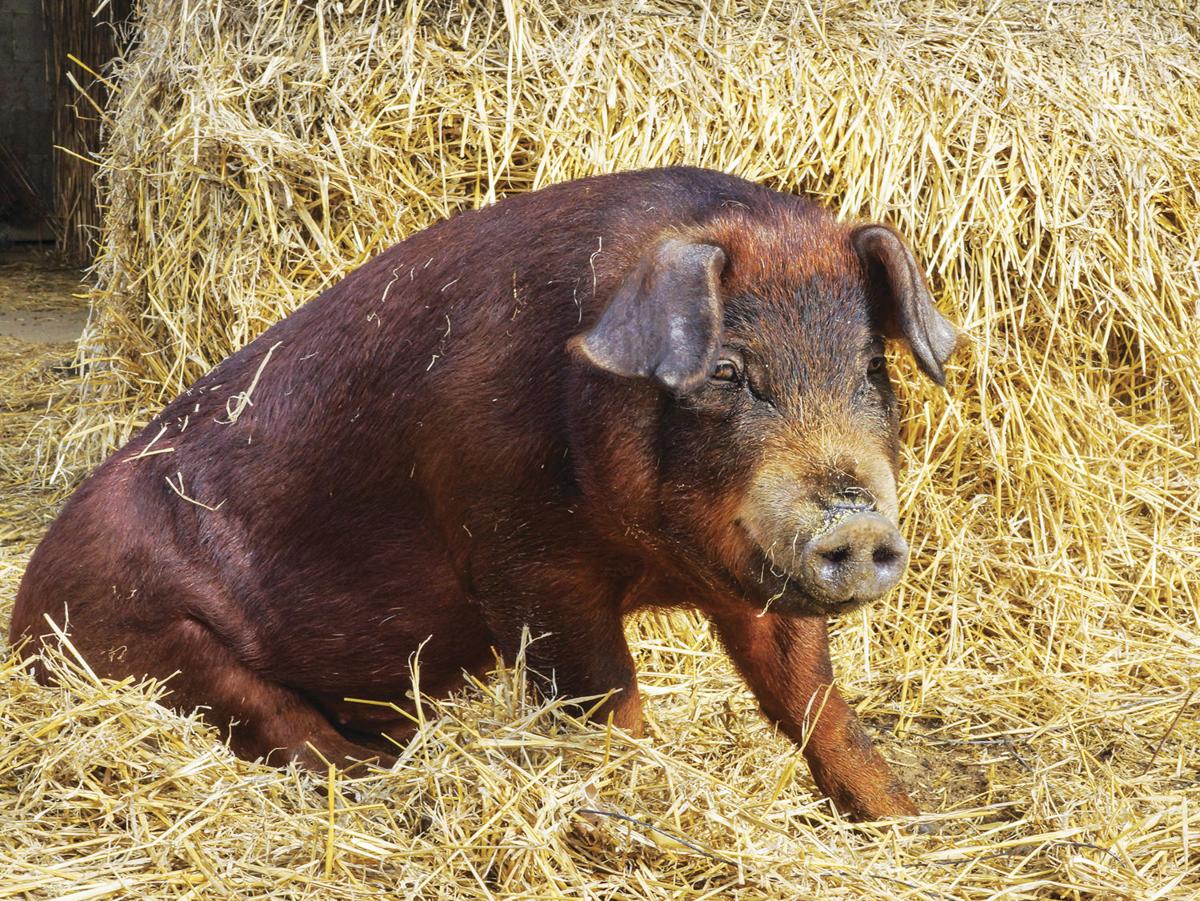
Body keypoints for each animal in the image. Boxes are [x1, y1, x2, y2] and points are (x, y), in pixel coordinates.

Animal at [9, 167, 960, 825]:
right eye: (727, 371)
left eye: (871, 368)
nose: (857, 520)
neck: (654, 563)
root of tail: (22, 615)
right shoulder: (524, 560)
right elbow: (605, 699)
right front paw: (638, 811)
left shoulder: (753, 581)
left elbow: (815, 704)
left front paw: (908, 824)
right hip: (161, 640)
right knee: (291, 735)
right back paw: (385, 787)